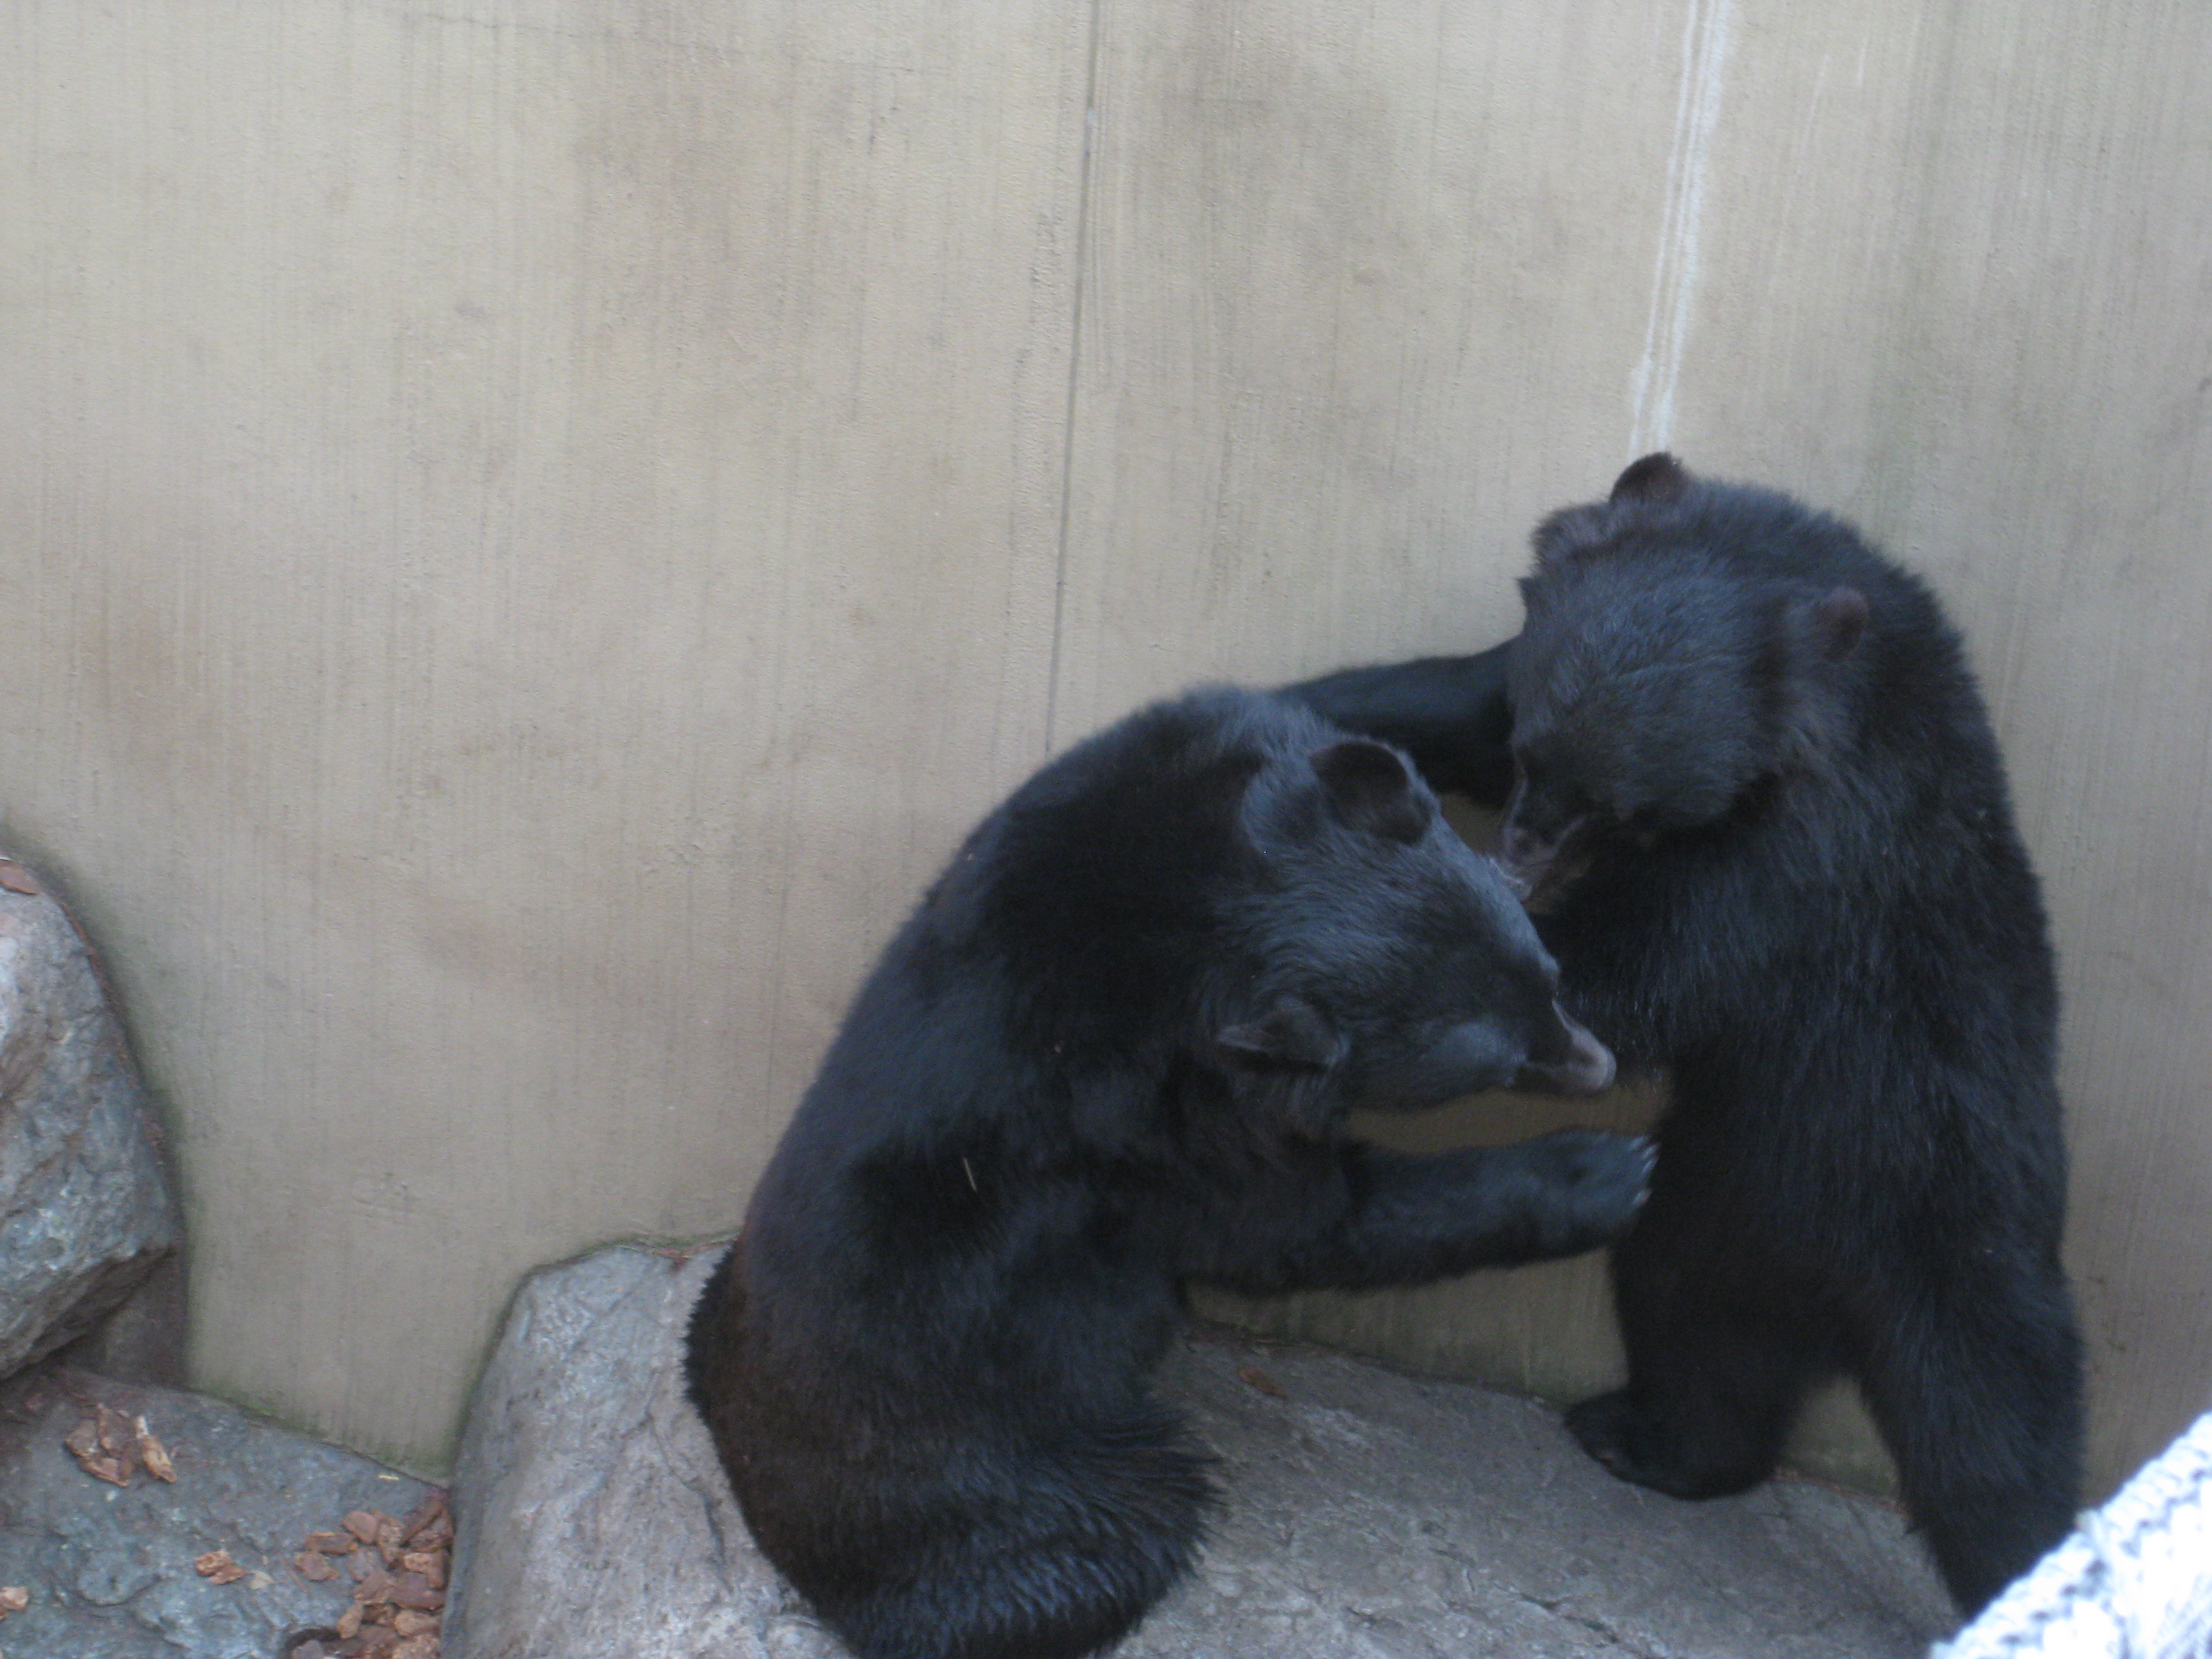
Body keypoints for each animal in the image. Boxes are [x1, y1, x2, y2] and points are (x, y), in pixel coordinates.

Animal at [685, 686, 1653, 1659]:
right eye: (1497, 1064)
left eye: (1549, 978)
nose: (1599, 1066)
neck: (1215, 905)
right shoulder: (1156, 1117)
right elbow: (1304, 1220)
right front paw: (1608, 1171)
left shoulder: (1117, 780)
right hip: (1002, 1493)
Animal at [1287, 455, 2083, 1617]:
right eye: (1532, 754)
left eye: (1625, 806)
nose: (1519, 858)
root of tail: (1842, 1304)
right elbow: (1447, 698)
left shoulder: (1788, 867)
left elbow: (1638, 962)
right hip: (1727, 1206)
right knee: (1693, 1317)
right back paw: (1652, 1440)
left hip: (1938, 1218)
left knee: (1992, 1435)